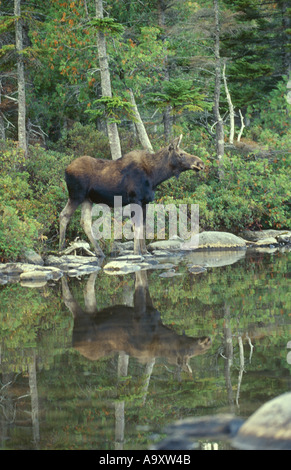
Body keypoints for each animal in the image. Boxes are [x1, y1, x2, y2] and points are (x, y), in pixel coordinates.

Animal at [59, 134, 205, 255]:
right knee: (64, 215)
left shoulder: (145, 202)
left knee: (85, 221)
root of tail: (66, 170)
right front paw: (136, 252)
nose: (200, 163)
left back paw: (99, 252)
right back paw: (61, 249)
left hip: (87, 199)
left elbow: (143, 227)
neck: (155, 176)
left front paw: (145, 251)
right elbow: (137, 226)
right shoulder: (136, 199)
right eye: (181, 154)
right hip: (76, 195)